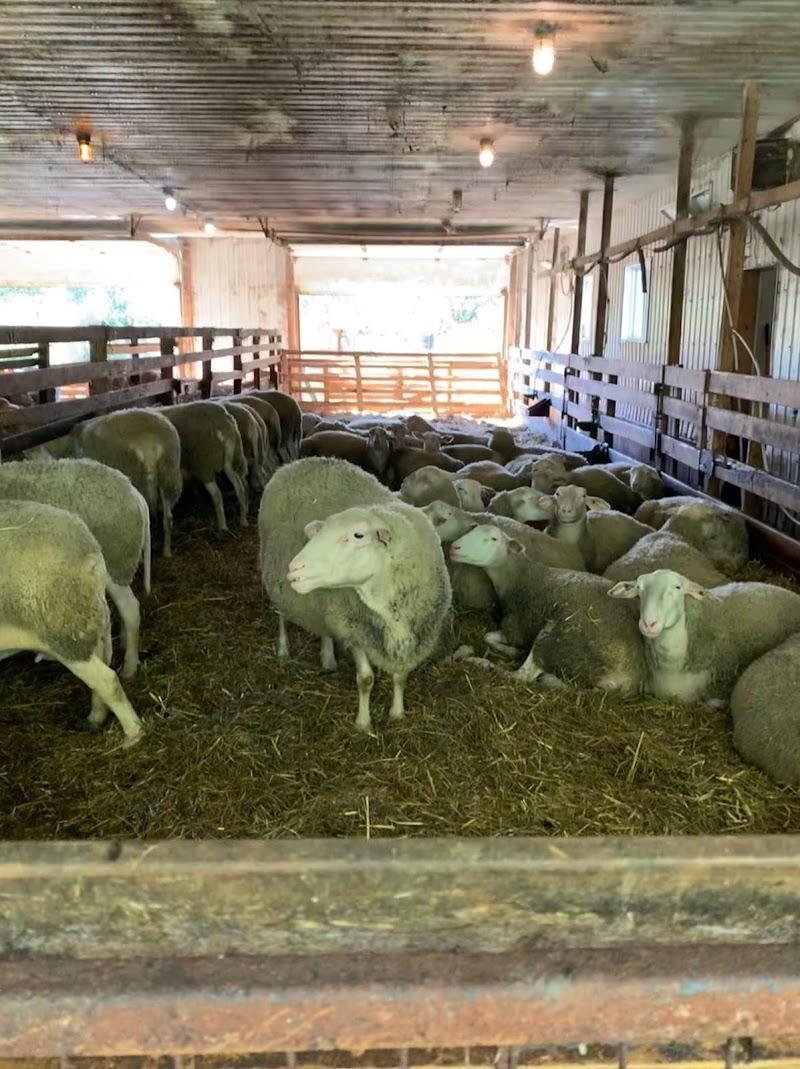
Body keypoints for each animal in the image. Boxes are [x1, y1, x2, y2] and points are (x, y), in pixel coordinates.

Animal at [0, 500, 143, 743]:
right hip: (83, 622)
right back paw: (95, 717)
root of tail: (89, 549)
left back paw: (134, 734)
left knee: (108, 680)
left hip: (65, 635)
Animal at [160, 401, 248, 531]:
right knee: (239, 487)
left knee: (217, 494)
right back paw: (243, 520)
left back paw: (223, 526)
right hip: (231, 459)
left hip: (204, 464)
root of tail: (221, 419)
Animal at [259, 457, 452, 731]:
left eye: (357, 535)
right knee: (282, 615)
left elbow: (400, 677)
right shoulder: (356, 631)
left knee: (324, 626)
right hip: (278, 581)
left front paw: (397, 713)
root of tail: (300, 461)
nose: (294, 568)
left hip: (325, 603)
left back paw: (328, 658)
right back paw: (283, 649)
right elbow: (366, 679)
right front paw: (363, 723)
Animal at [450, 524, 646, 693]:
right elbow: (488, 636)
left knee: (523, 675)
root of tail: (625, 679)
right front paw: (513, 651)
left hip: (556, 636)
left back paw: (480, 662)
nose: (454, 547)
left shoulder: (518, 628)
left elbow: (491, 637)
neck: (521, 577)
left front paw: (512, 650)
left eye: (493, 539)